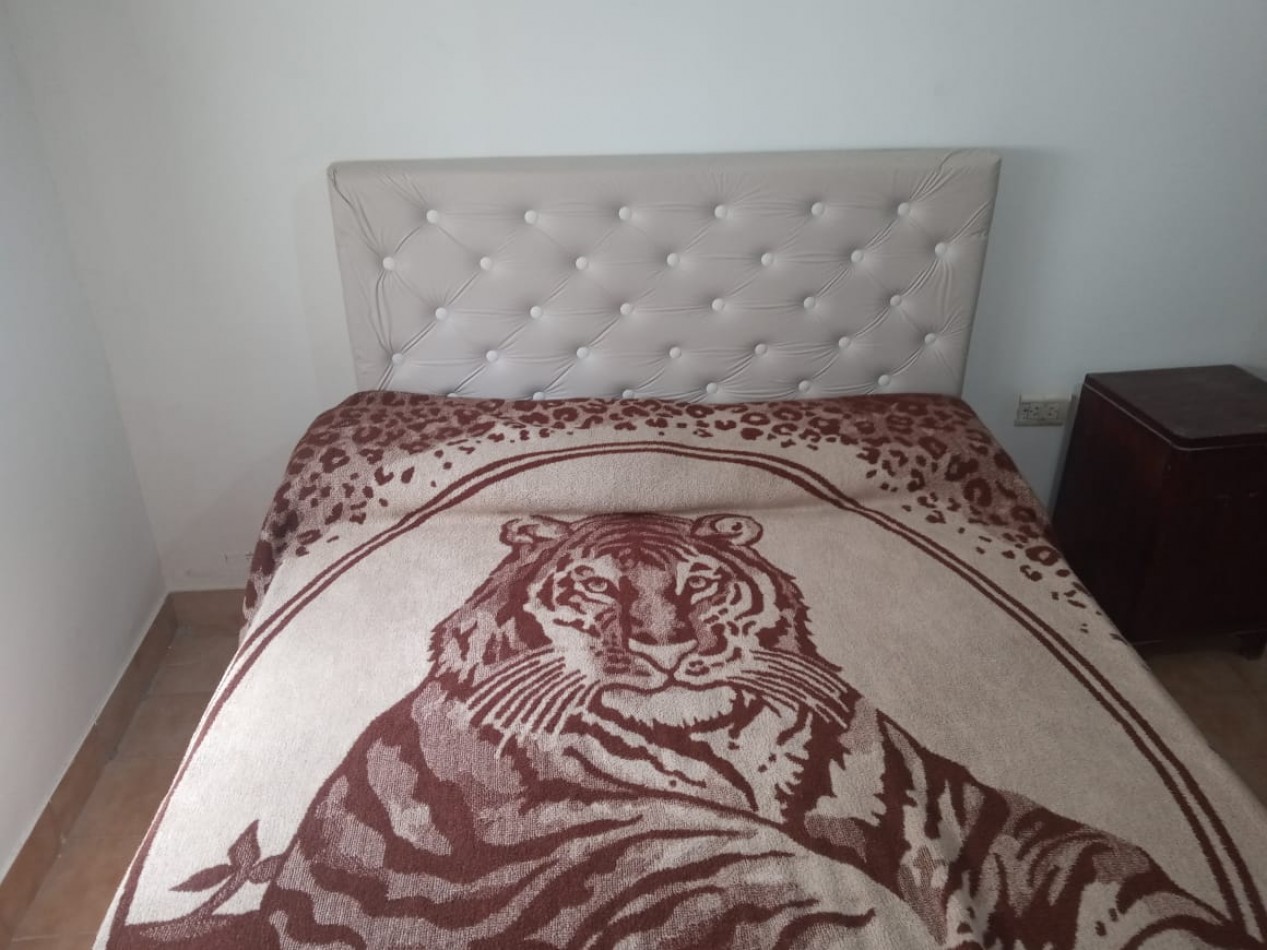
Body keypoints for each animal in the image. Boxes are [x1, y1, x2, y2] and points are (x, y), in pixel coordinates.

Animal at [121, 513, 1253, 949]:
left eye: (699, 583)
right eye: (594, 589)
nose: (665, 648)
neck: (733, 747)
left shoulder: (973, 822)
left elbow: (1124, 885)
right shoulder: (730, 896)